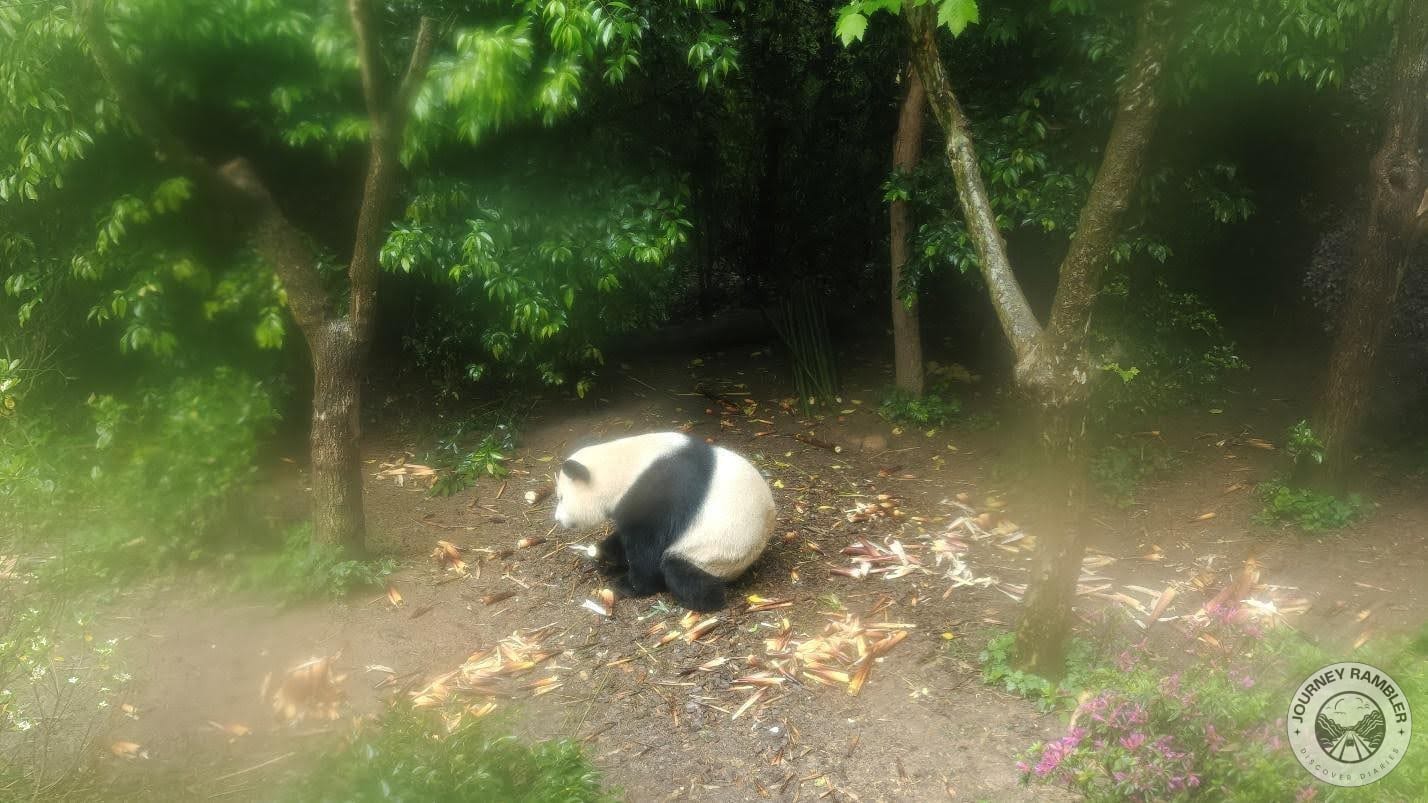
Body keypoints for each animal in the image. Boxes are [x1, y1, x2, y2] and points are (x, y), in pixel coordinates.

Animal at [553, 431, 777, 612]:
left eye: (561, 498)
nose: (558, 518)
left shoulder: (657, 495)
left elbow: (647, 546)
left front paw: (629, 585)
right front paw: (603, 555)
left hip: (716, 553)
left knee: (680, 572)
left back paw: (698, 601)